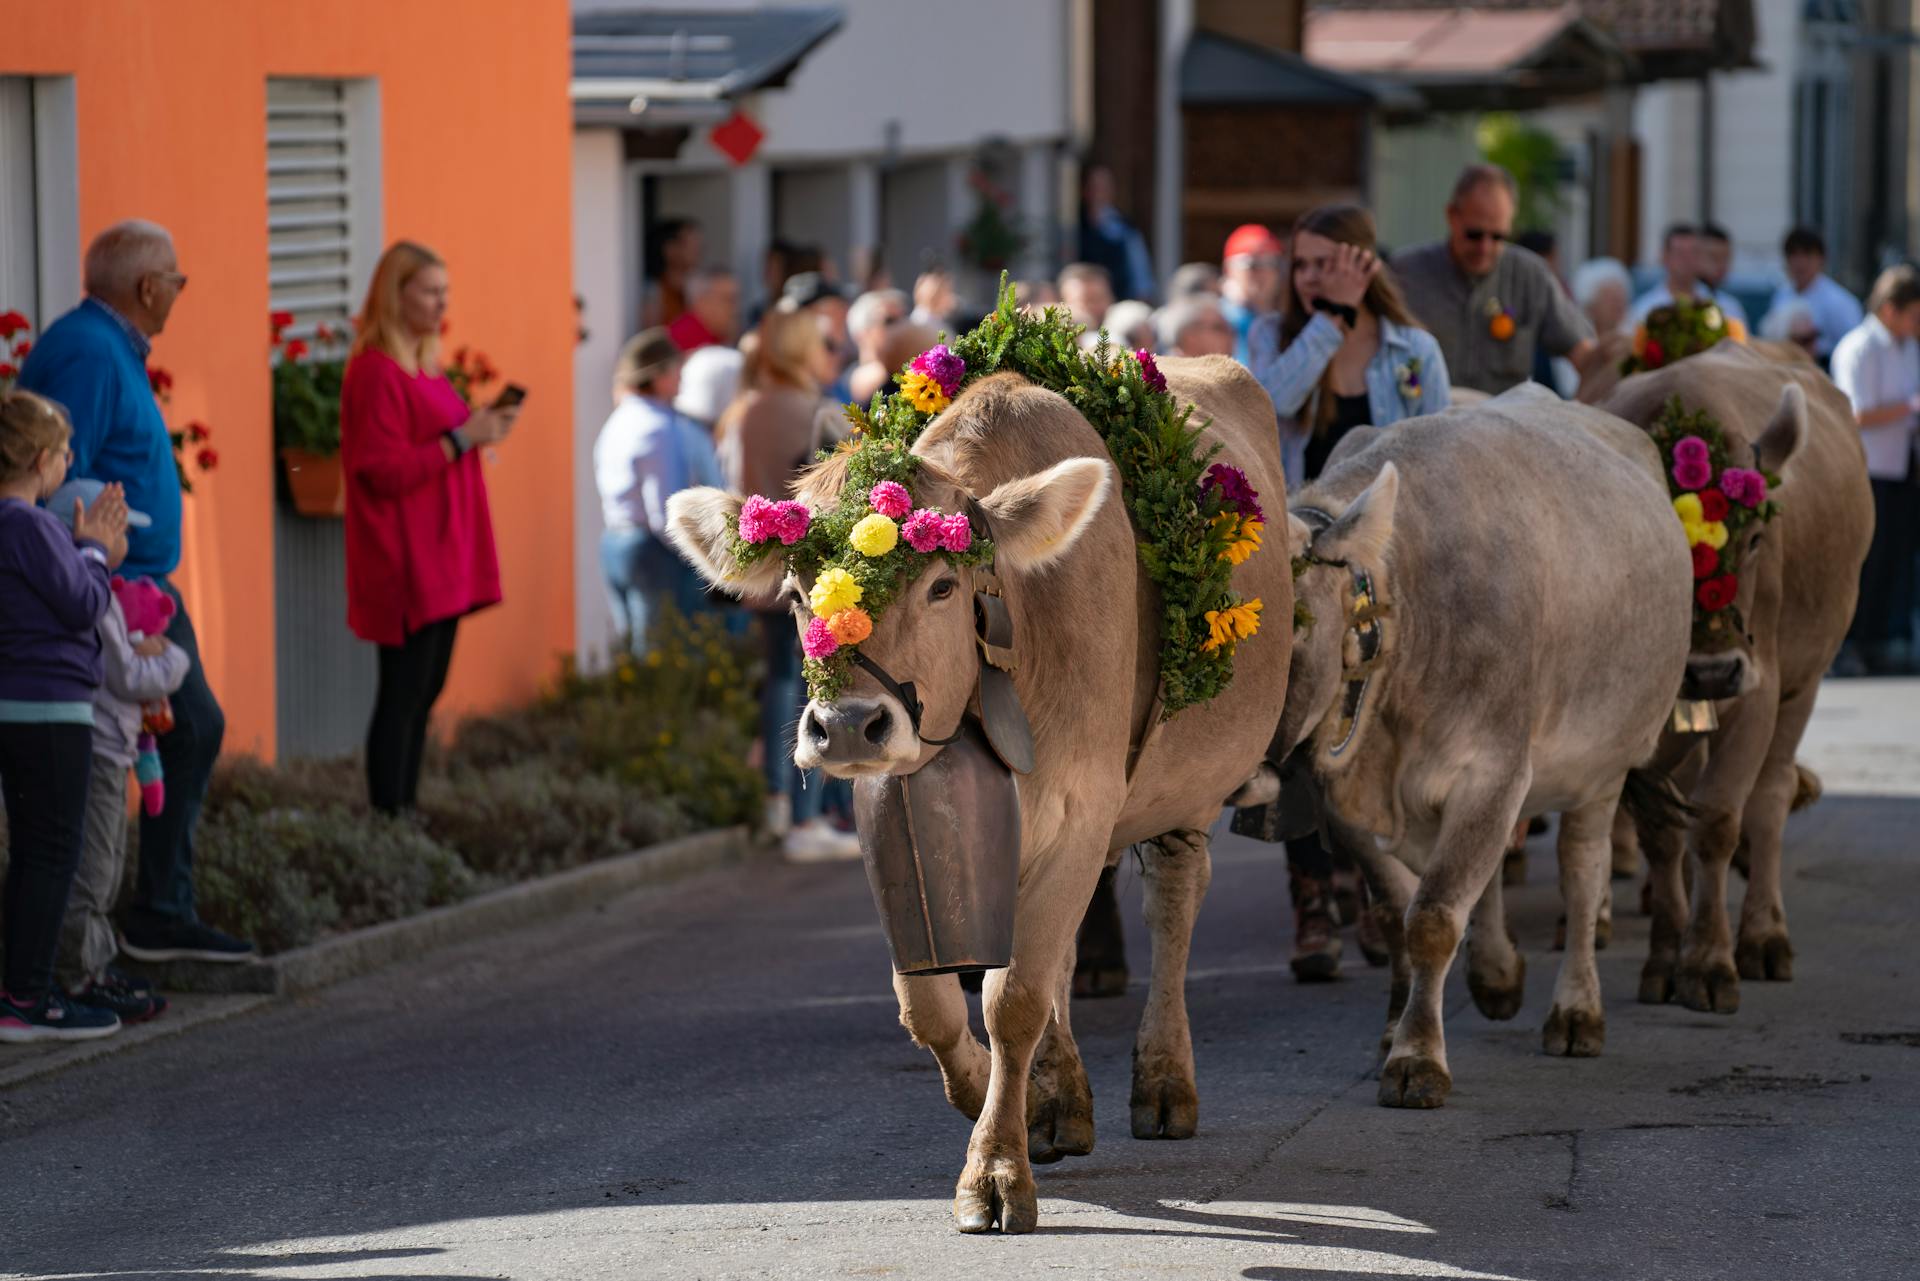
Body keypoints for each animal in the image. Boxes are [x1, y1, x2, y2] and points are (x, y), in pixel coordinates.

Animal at [660, 295, 1290, 1236]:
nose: (847, 725)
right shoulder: (900, 816)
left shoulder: (1083, 805)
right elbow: (927, 999)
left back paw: (1163, 1082)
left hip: (1182, 787)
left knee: (1174, 903)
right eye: (800, 593)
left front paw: (995, 1169)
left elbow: (1011, 996)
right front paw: (999, 1096)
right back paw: (1059, 1100)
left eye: (943, 586)